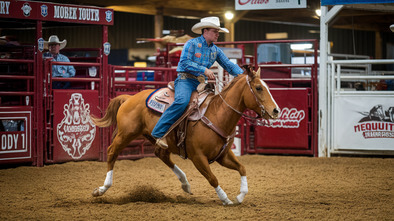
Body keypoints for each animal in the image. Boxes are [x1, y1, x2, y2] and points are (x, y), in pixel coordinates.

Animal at [91, 67, 280, 205]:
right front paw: (225, 199)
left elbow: (242, 168)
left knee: (162, 155)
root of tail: (129, 97)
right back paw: (101, 189)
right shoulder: (198, 157)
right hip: (126, 134)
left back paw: (185, 184)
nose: (276, 111)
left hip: (155, 138)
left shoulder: (223, 155)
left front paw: (240, 196)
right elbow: (212, 178)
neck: (216, 115)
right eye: (258, 88)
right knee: (112, 152)